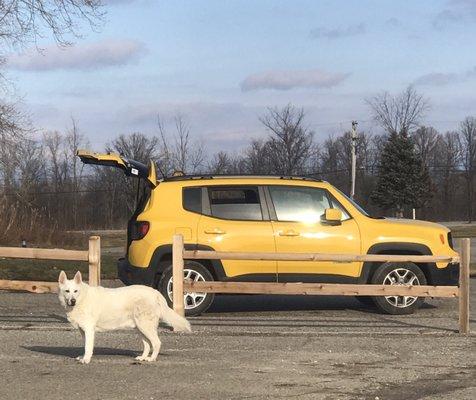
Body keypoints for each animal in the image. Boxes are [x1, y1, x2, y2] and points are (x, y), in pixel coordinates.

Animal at [59, 270, 192, 364]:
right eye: (67, 291)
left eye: (75, 291)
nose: (72, 301)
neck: (82, 298)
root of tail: (155, 292)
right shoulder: (83, 331)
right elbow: (85, 345)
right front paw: (83, 357)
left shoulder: (89, 330)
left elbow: (88, 347)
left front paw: (86, 360)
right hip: (140, 328)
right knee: (147, 345)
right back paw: (143, 357)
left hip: (145, 327)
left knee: (156, 343)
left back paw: (151, 359)